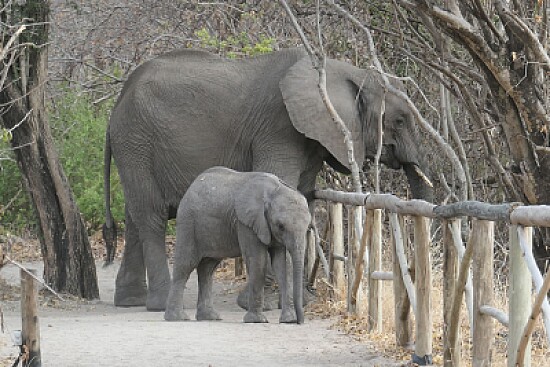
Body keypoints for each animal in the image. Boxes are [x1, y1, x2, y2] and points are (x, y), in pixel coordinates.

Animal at [164, 167, 312, 324]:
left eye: (308, 226)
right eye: (281, 226)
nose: (300, 322)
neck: (274, 190)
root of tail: (192, 186)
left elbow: (281, 265)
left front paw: (288, 320)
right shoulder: (246, 223)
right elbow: (258, 261)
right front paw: (257, 320)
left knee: (208, 268)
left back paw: (209, 317)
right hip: (188, 223)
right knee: (185, 265)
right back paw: (177, 318)